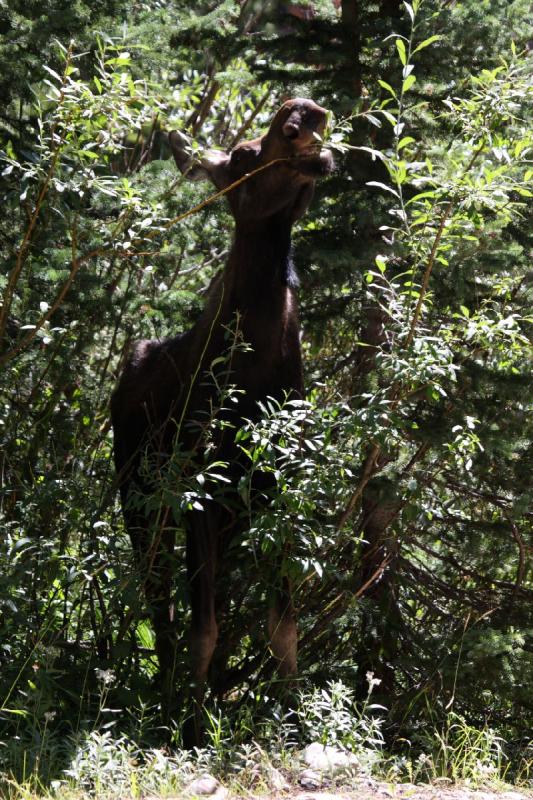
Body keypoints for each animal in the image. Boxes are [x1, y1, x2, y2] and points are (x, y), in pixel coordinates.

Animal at [111, 98, 332, 744]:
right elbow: (202, 630)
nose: (302, 111)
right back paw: (164, 698)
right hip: (140, 497)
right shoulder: (199, 497)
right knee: (159, 601)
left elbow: (283, 628)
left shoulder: (280, 495)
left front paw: (293, 720)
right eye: (240, 155)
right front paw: (187, 725)